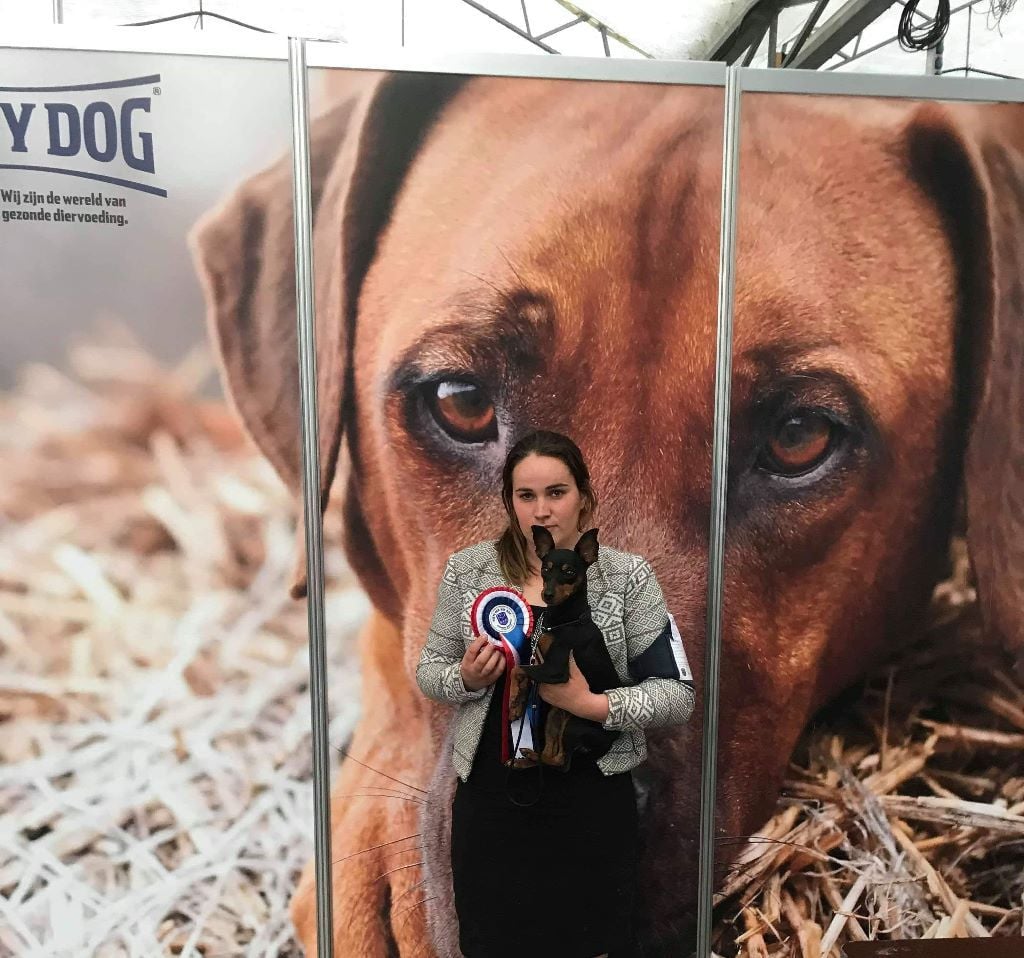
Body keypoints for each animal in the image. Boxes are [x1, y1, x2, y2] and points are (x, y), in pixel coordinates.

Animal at [516, 524, 618, 769]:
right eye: (545, 569)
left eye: (569, 572)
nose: (547, 594)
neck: (564, 619)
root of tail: (614, 736)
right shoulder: (539, 662)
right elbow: (525, 672)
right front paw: (516, 704)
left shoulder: (554, 669)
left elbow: (517, 668)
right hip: (555, 717)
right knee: (550, 755)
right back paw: (527, 758)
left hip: (574, 724)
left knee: (560, 762)